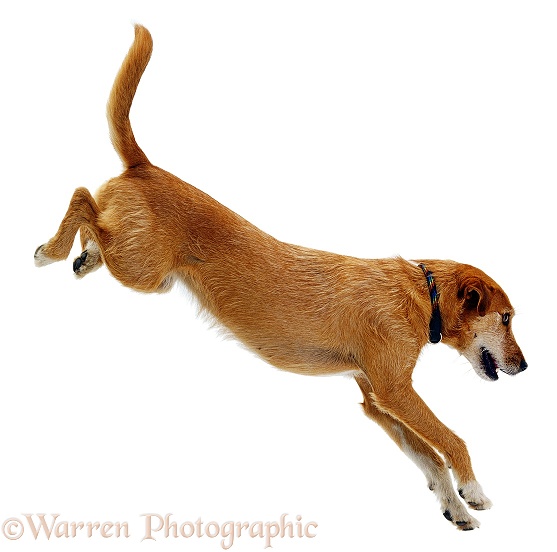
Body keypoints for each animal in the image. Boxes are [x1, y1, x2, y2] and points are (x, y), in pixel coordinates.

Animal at [34, 24, 524, 532]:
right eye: (507, 318)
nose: (525, 366)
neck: (421, 293)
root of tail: (144, 166)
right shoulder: (397, 390)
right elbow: (450, 440)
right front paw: (474, 489)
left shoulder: (377, 399)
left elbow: (429, 456)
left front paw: (453, 505)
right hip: (144, 270)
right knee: (81, 197)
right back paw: (51, 250)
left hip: (142, 266)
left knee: (95, 215)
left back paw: (83, 256)